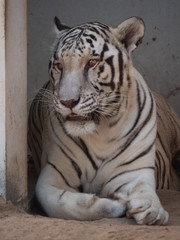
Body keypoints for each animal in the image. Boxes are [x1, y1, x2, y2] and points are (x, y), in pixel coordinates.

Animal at [28, 16, 180, 225]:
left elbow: (144, 190)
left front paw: (152, 210)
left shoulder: (134, 172)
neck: (101, 130)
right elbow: (64, 204)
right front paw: (115, 204)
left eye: (91, 62)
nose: (68, 101)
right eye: (59, 65)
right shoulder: (52, 176)